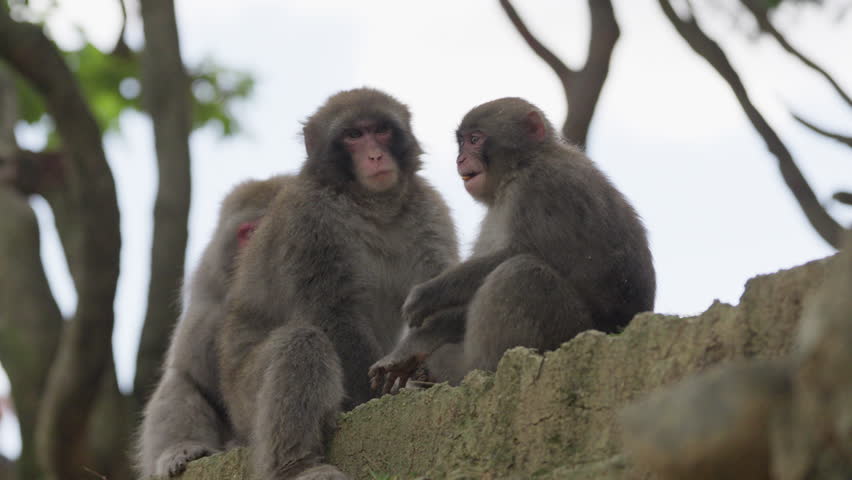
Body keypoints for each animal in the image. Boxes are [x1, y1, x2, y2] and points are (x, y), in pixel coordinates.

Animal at [135, 175, 291, 478]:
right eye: (248, 232)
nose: (254, 255)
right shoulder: (208, 285)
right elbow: (194, 367)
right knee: (179, 380)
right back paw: (184, 449)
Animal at [215, 88, 459, 480]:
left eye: (381, 130)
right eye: (353, 135)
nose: (375, 155)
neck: (371, 205)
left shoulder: (429, 210)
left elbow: (437, 296)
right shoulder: (310, 219)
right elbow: (334, 311)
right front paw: (377, 397)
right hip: (244, 398)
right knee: (302, 343)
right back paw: (297, 466)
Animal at [369, 97, 655, 392]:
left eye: (475, 139)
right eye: (462, 142)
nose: (460, 159)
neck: (522, 166)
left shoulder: (544, 185)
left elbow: (516, 253)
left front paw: (429, 294)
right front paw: (418, 342)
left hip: (569, 334)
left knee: (520, 272)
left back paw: (470, 369)